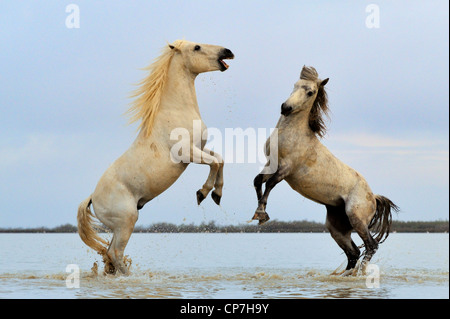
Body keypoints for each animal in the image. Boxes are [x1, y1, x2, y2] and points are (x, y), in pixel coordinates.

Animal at [77, 40, 234, 276]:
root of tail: (92, 198)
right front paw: (203, 193)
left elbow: (220, 159)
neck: (176, 111)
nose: (228, 52)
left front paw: (217, 194)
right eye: (197, 47)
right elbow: (215, 162)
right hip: (127, 221)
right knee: (115, 253)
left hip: (118, 227)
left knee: (109, 254)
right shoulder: (187, 153)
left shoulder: (200, 149)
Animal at [251, 66, 400, 276]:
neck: (292, 135)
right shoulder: (271, 164)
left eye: (310, 92)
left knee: (371, 246)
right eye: (295, 84)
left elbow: (270, 183)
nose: (285, 108)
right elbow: (258, 181)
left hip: (357, 219)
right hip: (337, 227)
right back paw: (345, 274)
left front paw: (261, 213)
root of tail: (374, 197)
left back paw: (358, 273)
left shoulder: (286, 168)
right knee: (353, 252)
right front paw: (259, 214)